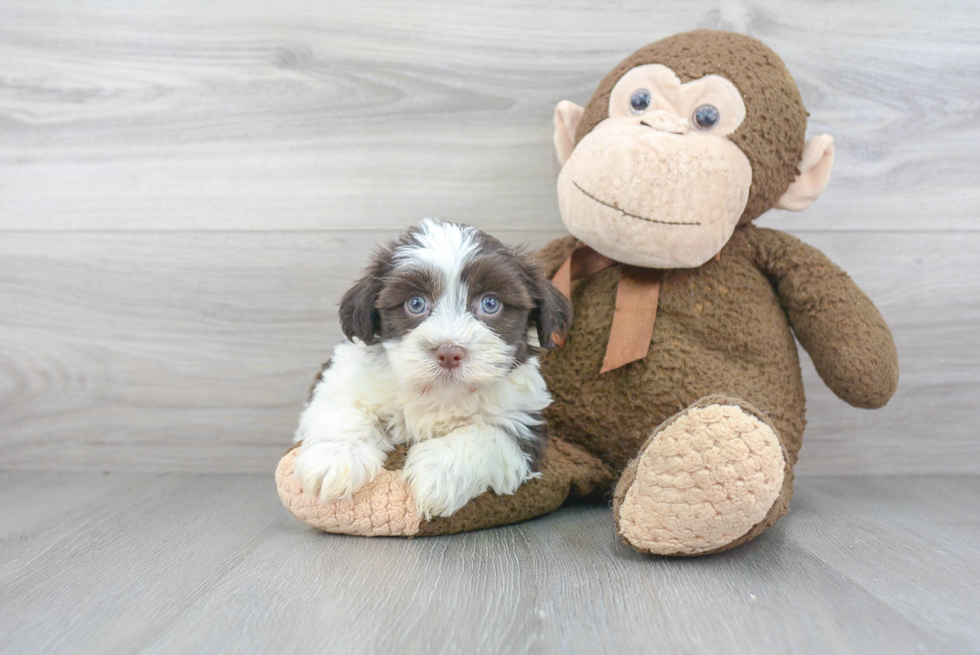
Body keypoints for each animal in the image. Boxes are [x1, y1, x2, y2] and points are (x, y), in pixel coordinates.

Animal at [294, 219, 572, 516]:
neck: (439, 392)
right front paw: (335, 458)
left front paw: (438, 473)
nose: (449, 353)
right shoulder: (342, 376)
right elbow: (343, 406)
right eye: (415, 303)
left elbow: (487, 434)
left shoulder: (524, 419)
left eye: (490, 303)